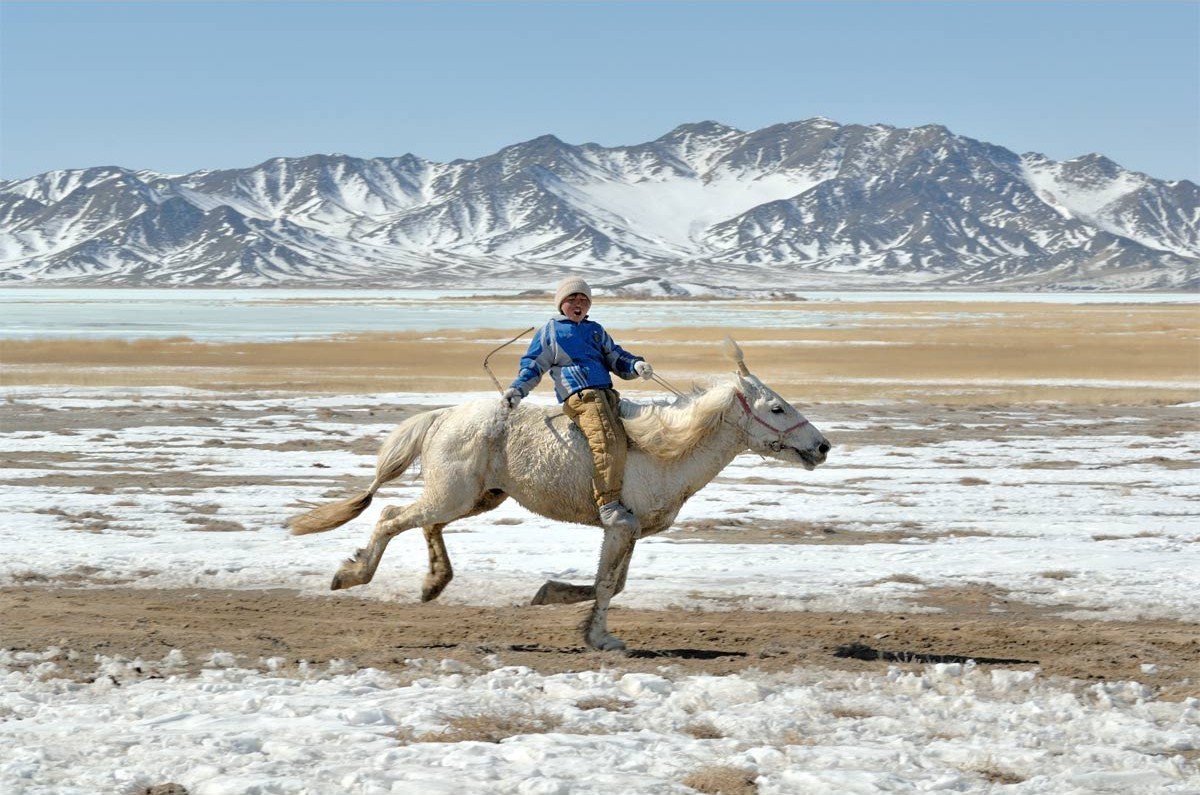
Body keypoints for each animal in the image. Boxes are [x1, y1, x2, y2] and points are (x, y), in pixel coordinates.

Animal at [291, 338, 835, 653]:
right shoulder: (620, 525)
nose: (822, 447)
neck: (666, 449)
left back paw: (433, 582)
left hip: (476, 497)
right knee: (389, 515)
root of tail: (443, 416)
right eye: (777, 408)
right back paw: (352, 575)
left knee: (426, 523)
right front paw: (598, 637)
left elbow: (611, 584)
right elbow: (605, 586)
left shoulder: (629, 531)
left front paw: (554, 598)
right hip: (453, 494)